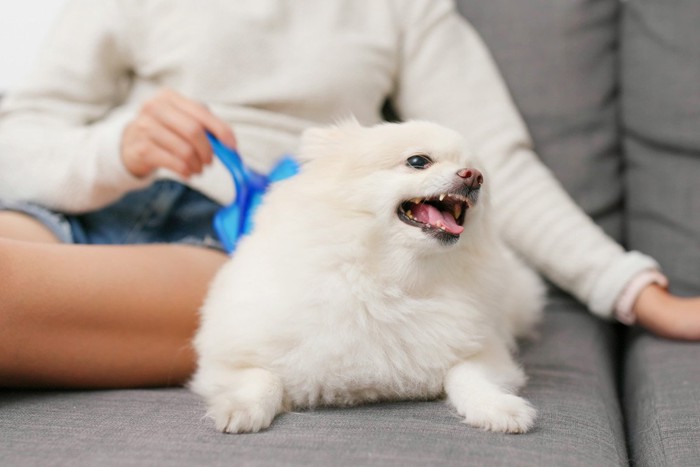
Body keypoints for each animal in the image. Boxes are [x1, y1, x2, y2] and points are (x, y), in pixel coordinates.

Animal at [191, 119, 548, 436]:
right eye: (418, 161)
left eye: (478, 172)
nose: (474, 177)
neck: (393, 282)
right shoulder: (227, 361)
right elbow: (262, 378)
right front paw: (241, 407)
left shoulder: (485, 351)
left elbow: (468, 376)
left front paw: (498, 408)